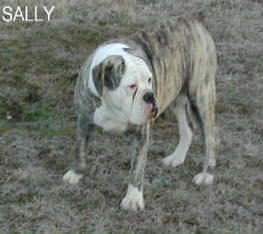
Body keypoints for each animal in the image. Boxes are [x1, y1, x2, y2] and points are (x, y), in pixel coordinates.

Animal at [63, 15, 219, 211]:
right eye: (131, 86)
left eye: (150, 80)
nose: (150, 95)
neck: (113, 105)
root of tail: (194, 22)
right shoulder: (84, 118)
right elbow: (80, 148)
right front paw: (75, 173)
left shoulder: (141, 133)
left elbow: (137, 168)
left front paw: (133, 199)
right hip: (179, 97)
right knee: (188, 129)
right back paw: (176, 158)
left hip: (200, 95)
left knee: (211, 138)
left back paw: (207, 175)